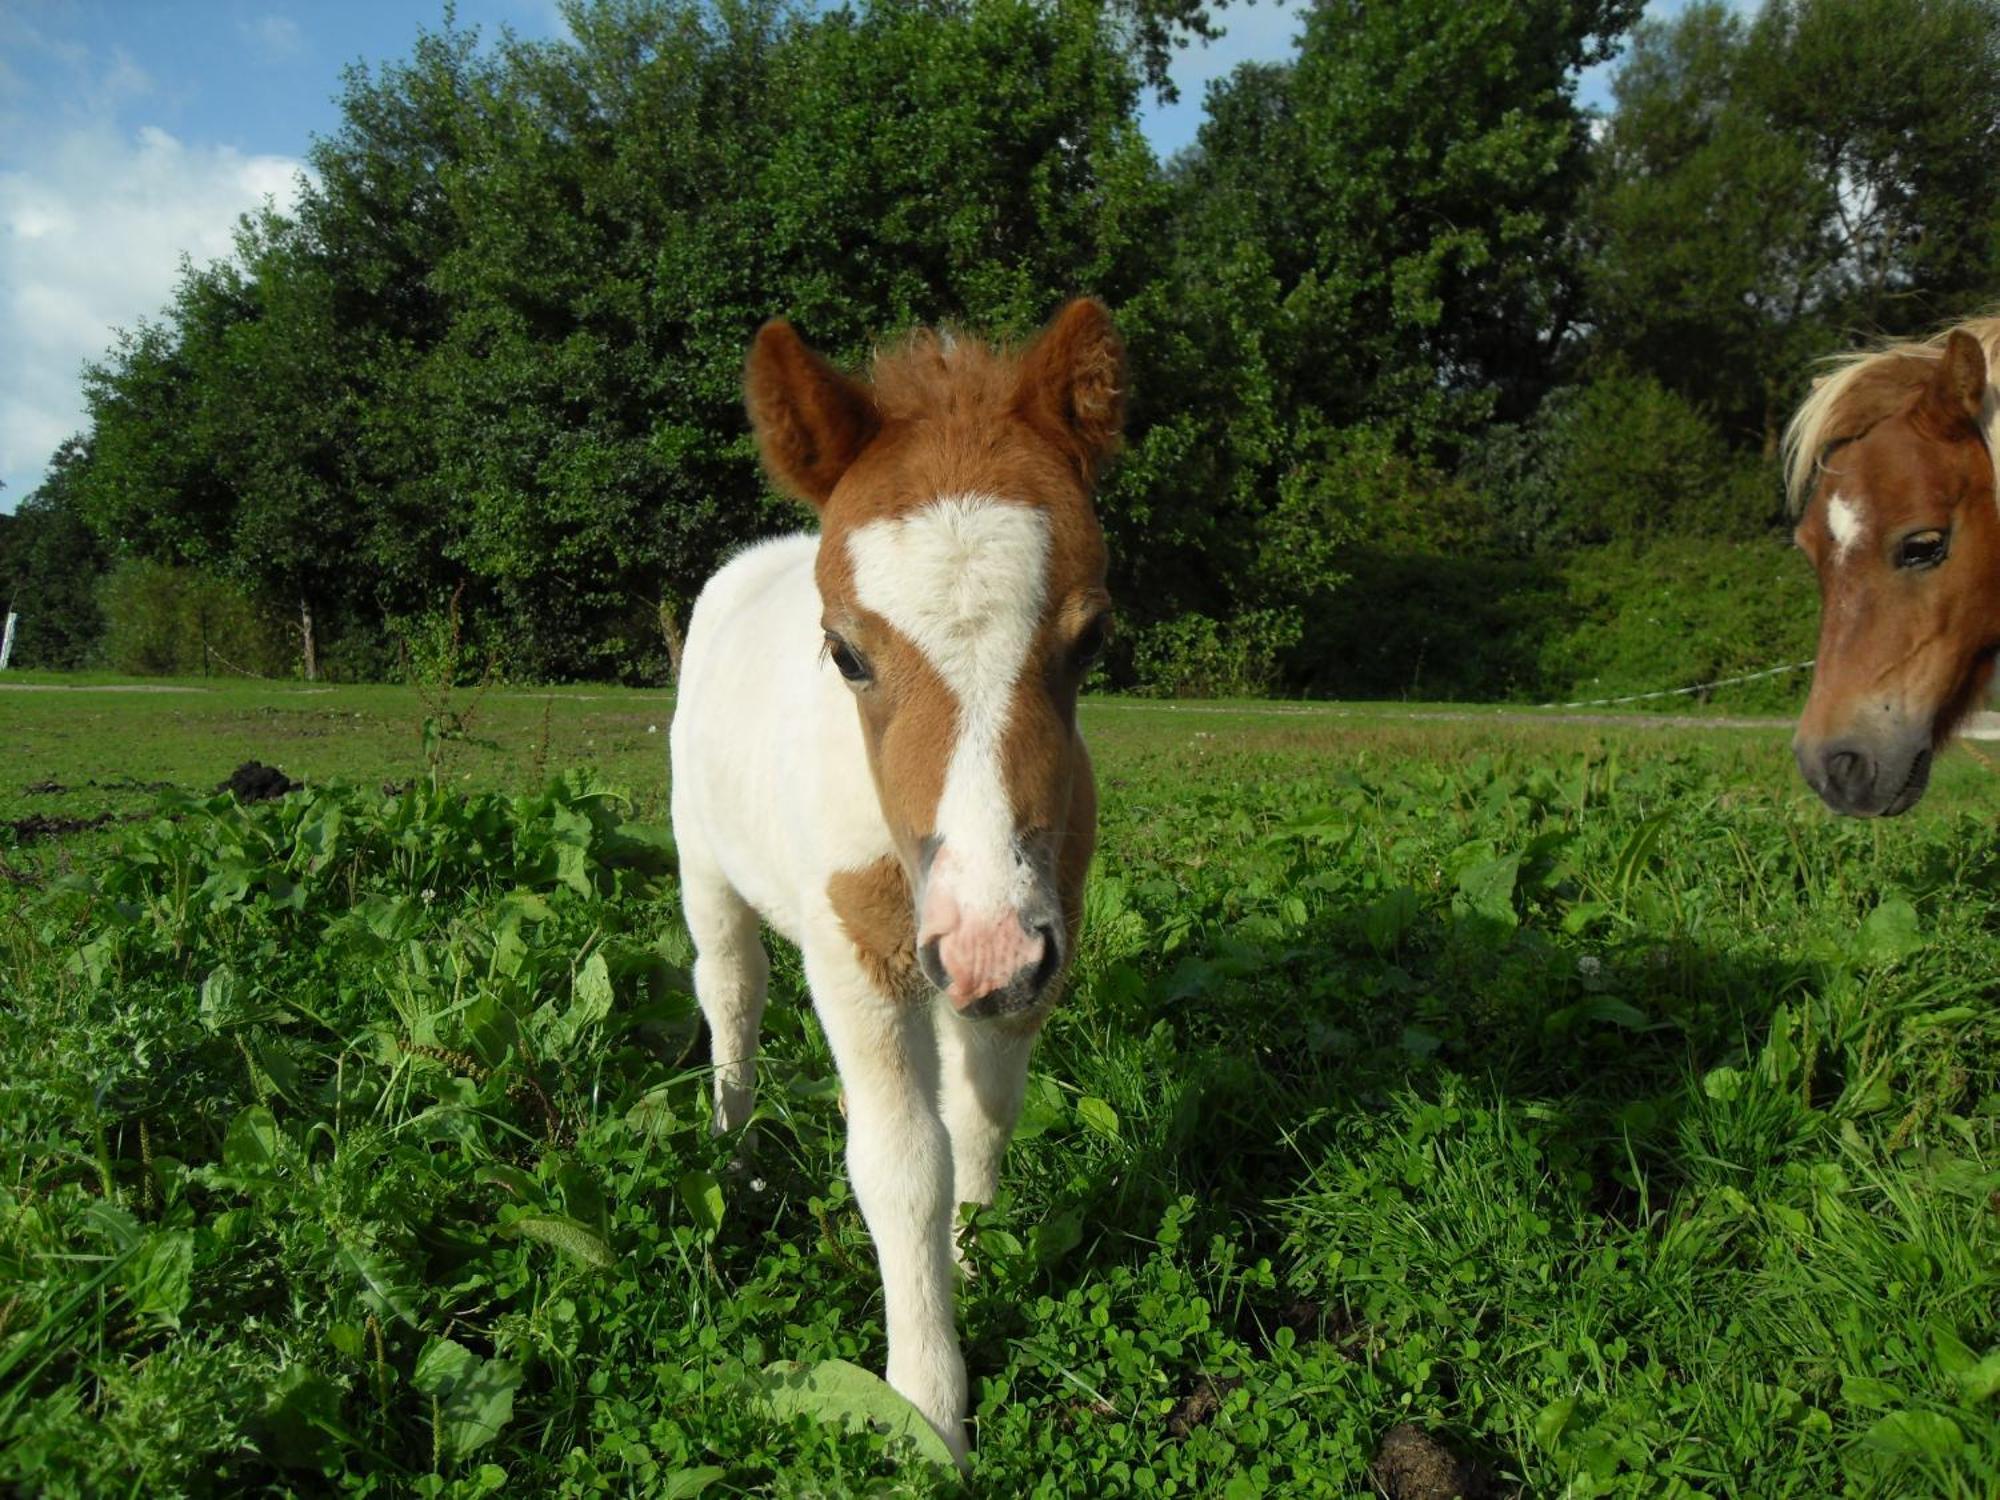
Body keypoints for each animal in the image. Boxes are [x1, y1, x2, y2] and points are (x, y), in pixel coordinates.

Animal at [664, 300, 1120, 1464]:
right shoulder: (860, 960)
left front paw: (975, 1259)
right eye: (846, 653)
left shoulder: (1024, 949)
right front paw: (926, 1410)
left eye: (1093, 637)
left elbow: (982, 1118)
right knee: (729, 993)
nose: (992, 943)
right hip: (704, 865)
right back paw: (734, 1153)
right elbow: (901, 1162)